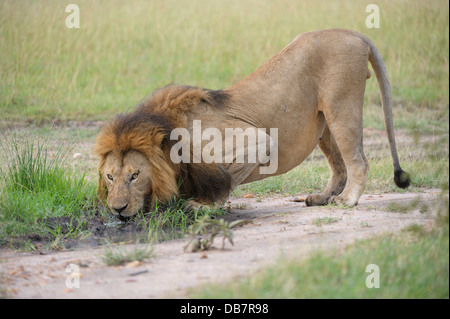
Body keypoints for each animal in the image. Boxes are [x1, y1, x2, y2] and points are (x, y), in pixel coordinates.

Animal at [95, 29, 412, 218]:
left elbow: (225, 179)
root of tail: (352, 33)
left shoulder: (255, 140)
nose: (117, 209)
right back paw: (322, 197)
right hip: (324, 123)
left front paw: (203, 206)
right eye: (110, 177)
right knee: (339, 166)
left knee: (358, 161)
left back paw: (347, 200)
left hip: (341, 105)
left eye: (135, 176)